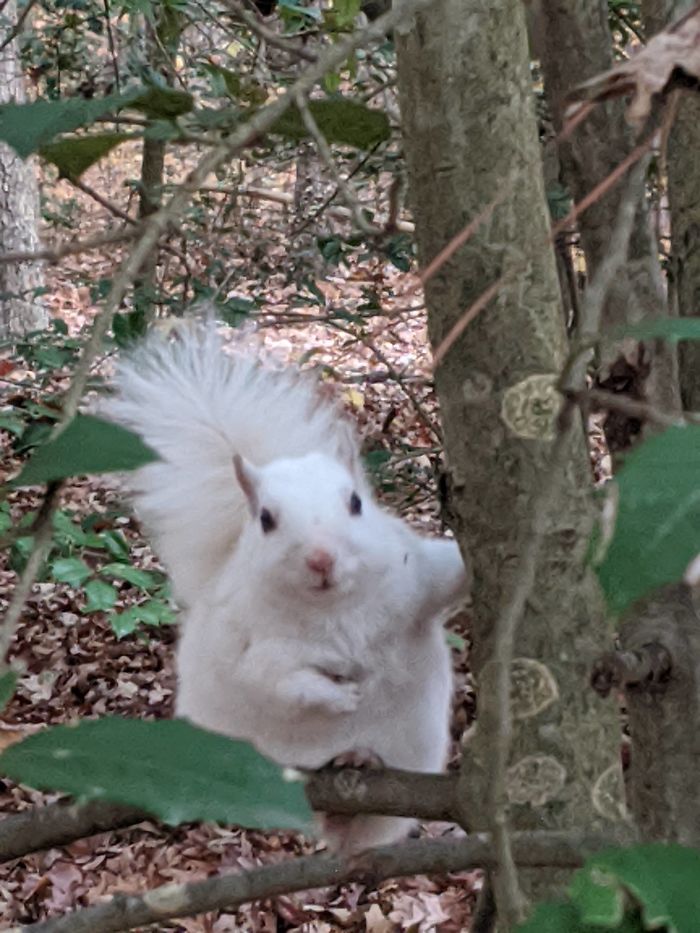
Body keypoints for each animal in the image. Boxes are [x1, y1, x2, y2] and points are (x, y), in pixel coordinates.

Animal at [104, 323, 471, 854]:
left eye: (356, 503)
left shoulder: (415, 581)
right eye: (266, 520)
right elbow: (276, 681)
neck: (331, 608)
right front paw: (338, 697)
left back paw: (361, 758)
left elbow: (446, 578)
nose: (321, 559)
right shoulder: (249, 644)